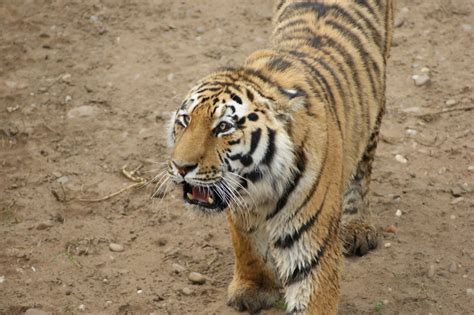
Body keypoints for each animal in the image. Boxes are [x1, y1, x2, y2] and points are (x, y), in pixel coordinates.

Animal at [165, 0, 394, 314]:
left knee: (363, 167)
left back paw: (358, 227)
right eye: (185, 120)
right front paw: (254, 289)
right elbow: (247, 246)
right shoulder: (241, 208)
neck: (256, 181)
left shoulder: (310, 241)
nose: (180, 167)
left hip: (377, 101)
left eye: (223, 127)